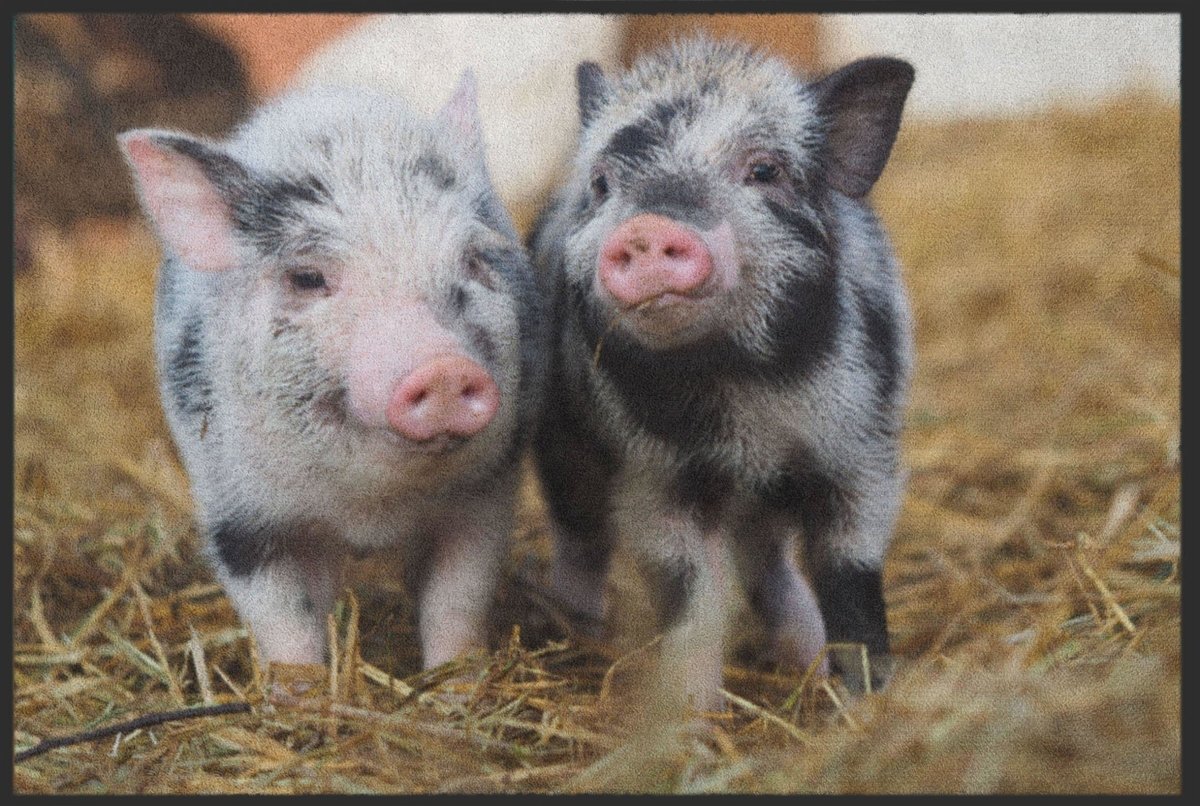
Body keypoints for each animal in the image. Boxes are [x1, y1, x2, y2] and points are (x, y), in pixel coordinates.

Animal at [119, 73, 547, 670]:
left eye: (474, 260)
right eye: (307, 277)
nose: (441, 366)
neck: (370, 508)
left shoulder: (486, 493)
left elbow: (458, 599)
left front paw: (457, 679)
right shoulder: (235, 510)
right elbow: (282, 621)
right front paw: (299, 689)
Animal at [530, 38, 915, 706]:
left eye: (763, 171)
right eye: (602, 183)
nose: (648, 227)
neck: (741, 387)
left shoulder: (860, 453)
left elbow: (852, 576)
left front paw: (864, 701)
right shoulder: (657, 478)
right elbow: (691, 601)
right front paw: (690, 714)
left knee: (771, 567)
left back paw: (807, 663)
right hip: (562, 448)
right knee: (580, 539)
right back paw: (582, 632)